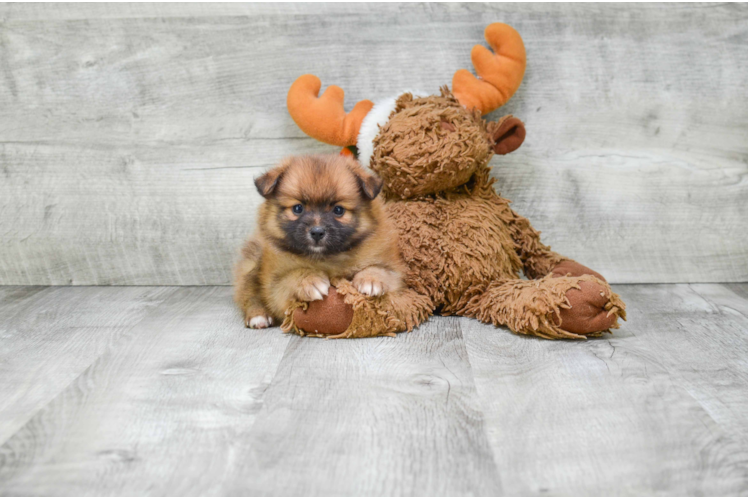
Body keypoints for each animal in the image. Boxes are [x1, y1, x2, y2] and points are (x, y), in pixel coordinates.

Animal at [237, 155, 406, 328]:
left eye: (338, 210)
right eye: (298, 208)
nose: (317, 232)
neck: (327, 257)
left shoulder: (392, 268)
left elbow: (382, 269)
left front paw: (371, 279)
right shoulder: (275, 285)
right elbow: (291, 277)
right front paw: (309, 281)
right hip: (254, 260)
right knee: (248, 293)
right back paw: (259, 316)